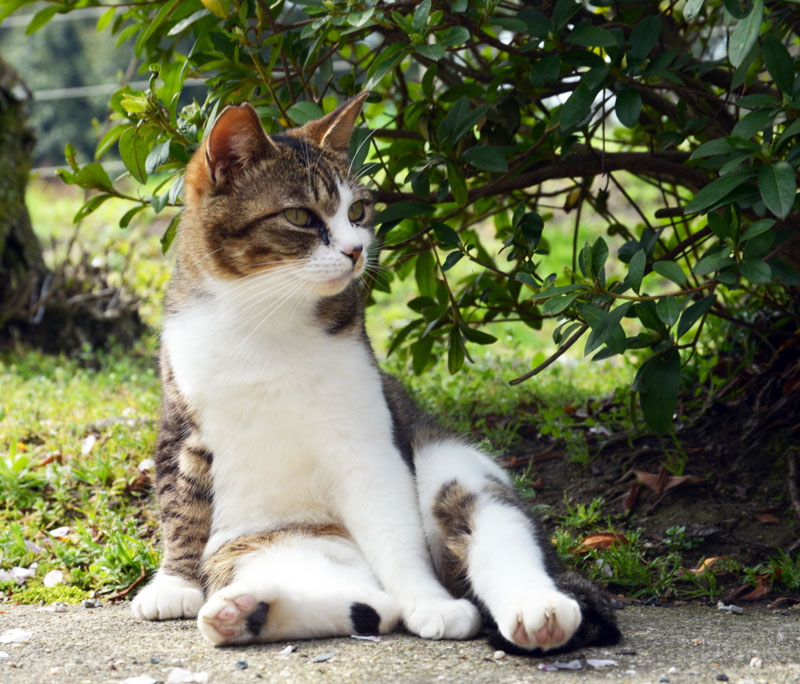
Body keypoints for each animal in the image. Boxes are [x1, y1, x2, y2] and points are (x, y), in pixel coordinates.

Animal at [131, 91, 620, 652]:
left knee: (488, 533)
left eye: (358, 210)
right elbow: (181, 506)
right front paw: (175, 583)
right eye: (299, 216)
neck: (265, 317)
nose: (355, 249)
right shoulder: (182, 426)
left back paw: (537, 612)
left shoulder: (367, 443)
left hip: (453, 466)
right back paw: (245, 610)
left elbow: (395, 533)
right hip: (280, 543)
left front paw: (429, 601)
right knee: (371, 605)